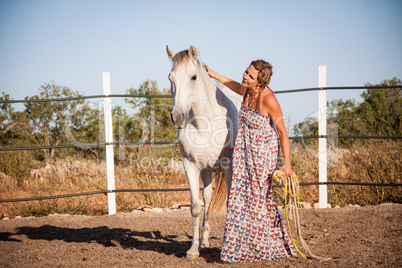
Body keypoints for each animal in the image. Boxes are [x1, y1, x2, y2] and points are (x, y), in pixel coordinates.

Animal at [166, 45, 242, 258]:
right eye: (170, 78)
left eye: (193, 77)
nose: (177, 117)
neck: (206, 124)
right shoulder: (190, 166)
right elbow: (195, 206)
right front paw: (193, 249)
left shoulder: (229, 168)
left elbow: (230, 204)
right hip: (207, 171)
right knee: (207, 198)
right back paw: (204, 240)